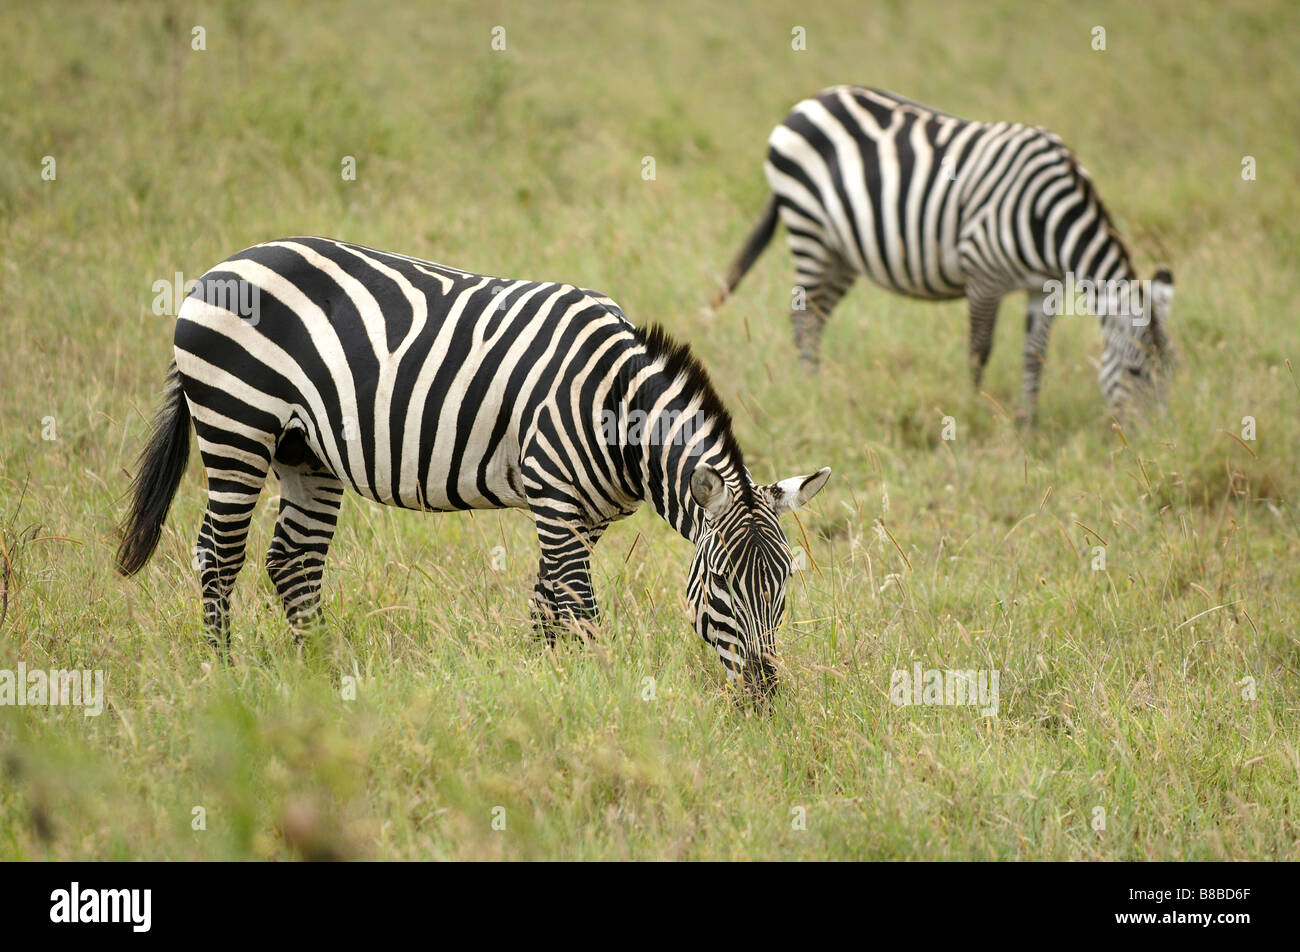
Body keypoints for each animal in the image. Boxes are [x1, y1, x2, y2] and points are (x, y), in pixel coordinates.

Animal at [115, 237, 830, 695]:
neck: (617, 409)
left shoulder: (587, 515)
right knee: (218, 555)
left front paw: (546, 684)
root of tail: (221, 267)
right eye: (721, 584)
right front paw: (597, 692)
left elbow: (548, 602)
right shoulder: (554, 494)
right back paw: (223, 673)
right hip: (237, 424)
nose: (766, 694)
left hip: (304, 451)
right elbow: (579, 607)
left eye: (784, 587)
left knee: (292, 561)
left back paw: (318, 672)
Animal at [712, 85, 1175, 422]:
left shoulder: (1046, 285)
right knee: (803, 315)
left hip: (842, 250)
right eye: (1136, 373)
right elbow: (979, 348)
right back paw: (809, 385)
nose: (1156, 446)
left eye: (1172, 374)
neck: (1051, 217)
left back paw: (817, 383)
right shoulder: (983, 274)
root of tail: (811, 99)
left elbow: (1034, 354)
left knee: (818, 315)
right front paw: (974, 407)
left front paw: (1027, 422)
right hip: (808, 226)